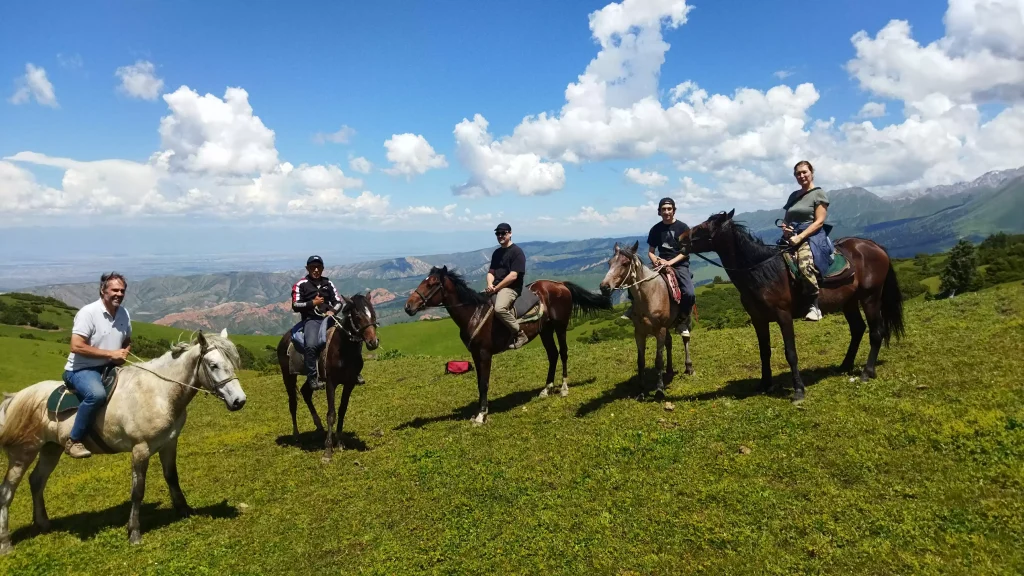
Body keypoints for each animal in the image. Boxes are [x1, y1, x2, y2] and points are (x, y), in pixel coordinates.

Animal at [0, 327, 246, 553]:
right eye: (213, 365)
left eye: (232, 362)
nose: (239, 400)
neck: (160, 392)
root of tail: (16, 398)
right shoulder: (140, 449)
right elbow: (138, 491)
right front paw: (134, 532)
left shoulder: (169, 443)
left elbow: (172, 477)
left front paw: (184, 510)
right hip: (23, 453)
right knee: (7, 490)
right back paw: (6, 544)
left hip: (51, 449)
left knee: (36, 481)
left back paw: (43, 523)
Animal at [276, 293, 380, 459]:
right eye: (357, 317)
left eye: (373, 314)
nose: (373, 342)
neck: (344, 350)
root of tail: (284, 338)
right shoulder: (331, 383)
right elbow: (331, 414)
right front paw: (328, 450)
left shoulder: (349, 383)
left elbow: (342, 410)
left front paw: (340, 443)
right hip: (288, 376)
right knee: (293, 403)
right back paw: (296, 437)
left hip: (313, 376)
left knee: (306, 391)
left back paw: (318, 426)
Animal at [401, 266, 610, 424]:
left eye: (431, 283)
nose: (408, 306)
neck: (473, 313)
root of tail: (560, 285)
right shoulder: (475, 354)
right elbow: (479, 383)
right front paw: (480, 411)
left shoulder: (485, 353)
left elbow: (484, 383)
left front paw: (481, 416)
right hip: (545, 331)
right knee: (552, 355)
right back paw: (546, 389)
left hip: (560, 326)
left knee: (564, 353)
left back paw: (564, 389)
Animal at [679, 208, 905, 401]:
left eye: (703, 227)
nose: (680, 238)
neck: (762, 271)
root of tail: (874, 246)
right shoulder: (758, 319)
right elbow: (764, 351)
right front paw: (764, 384)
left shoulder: (783, 316)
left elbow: (790, 353)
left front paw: (798, 390)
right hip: (849, 301)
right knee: (858, 329)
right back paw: (844, 366)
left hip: (870, 297)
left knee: (876, 332)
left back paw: (867, 372)